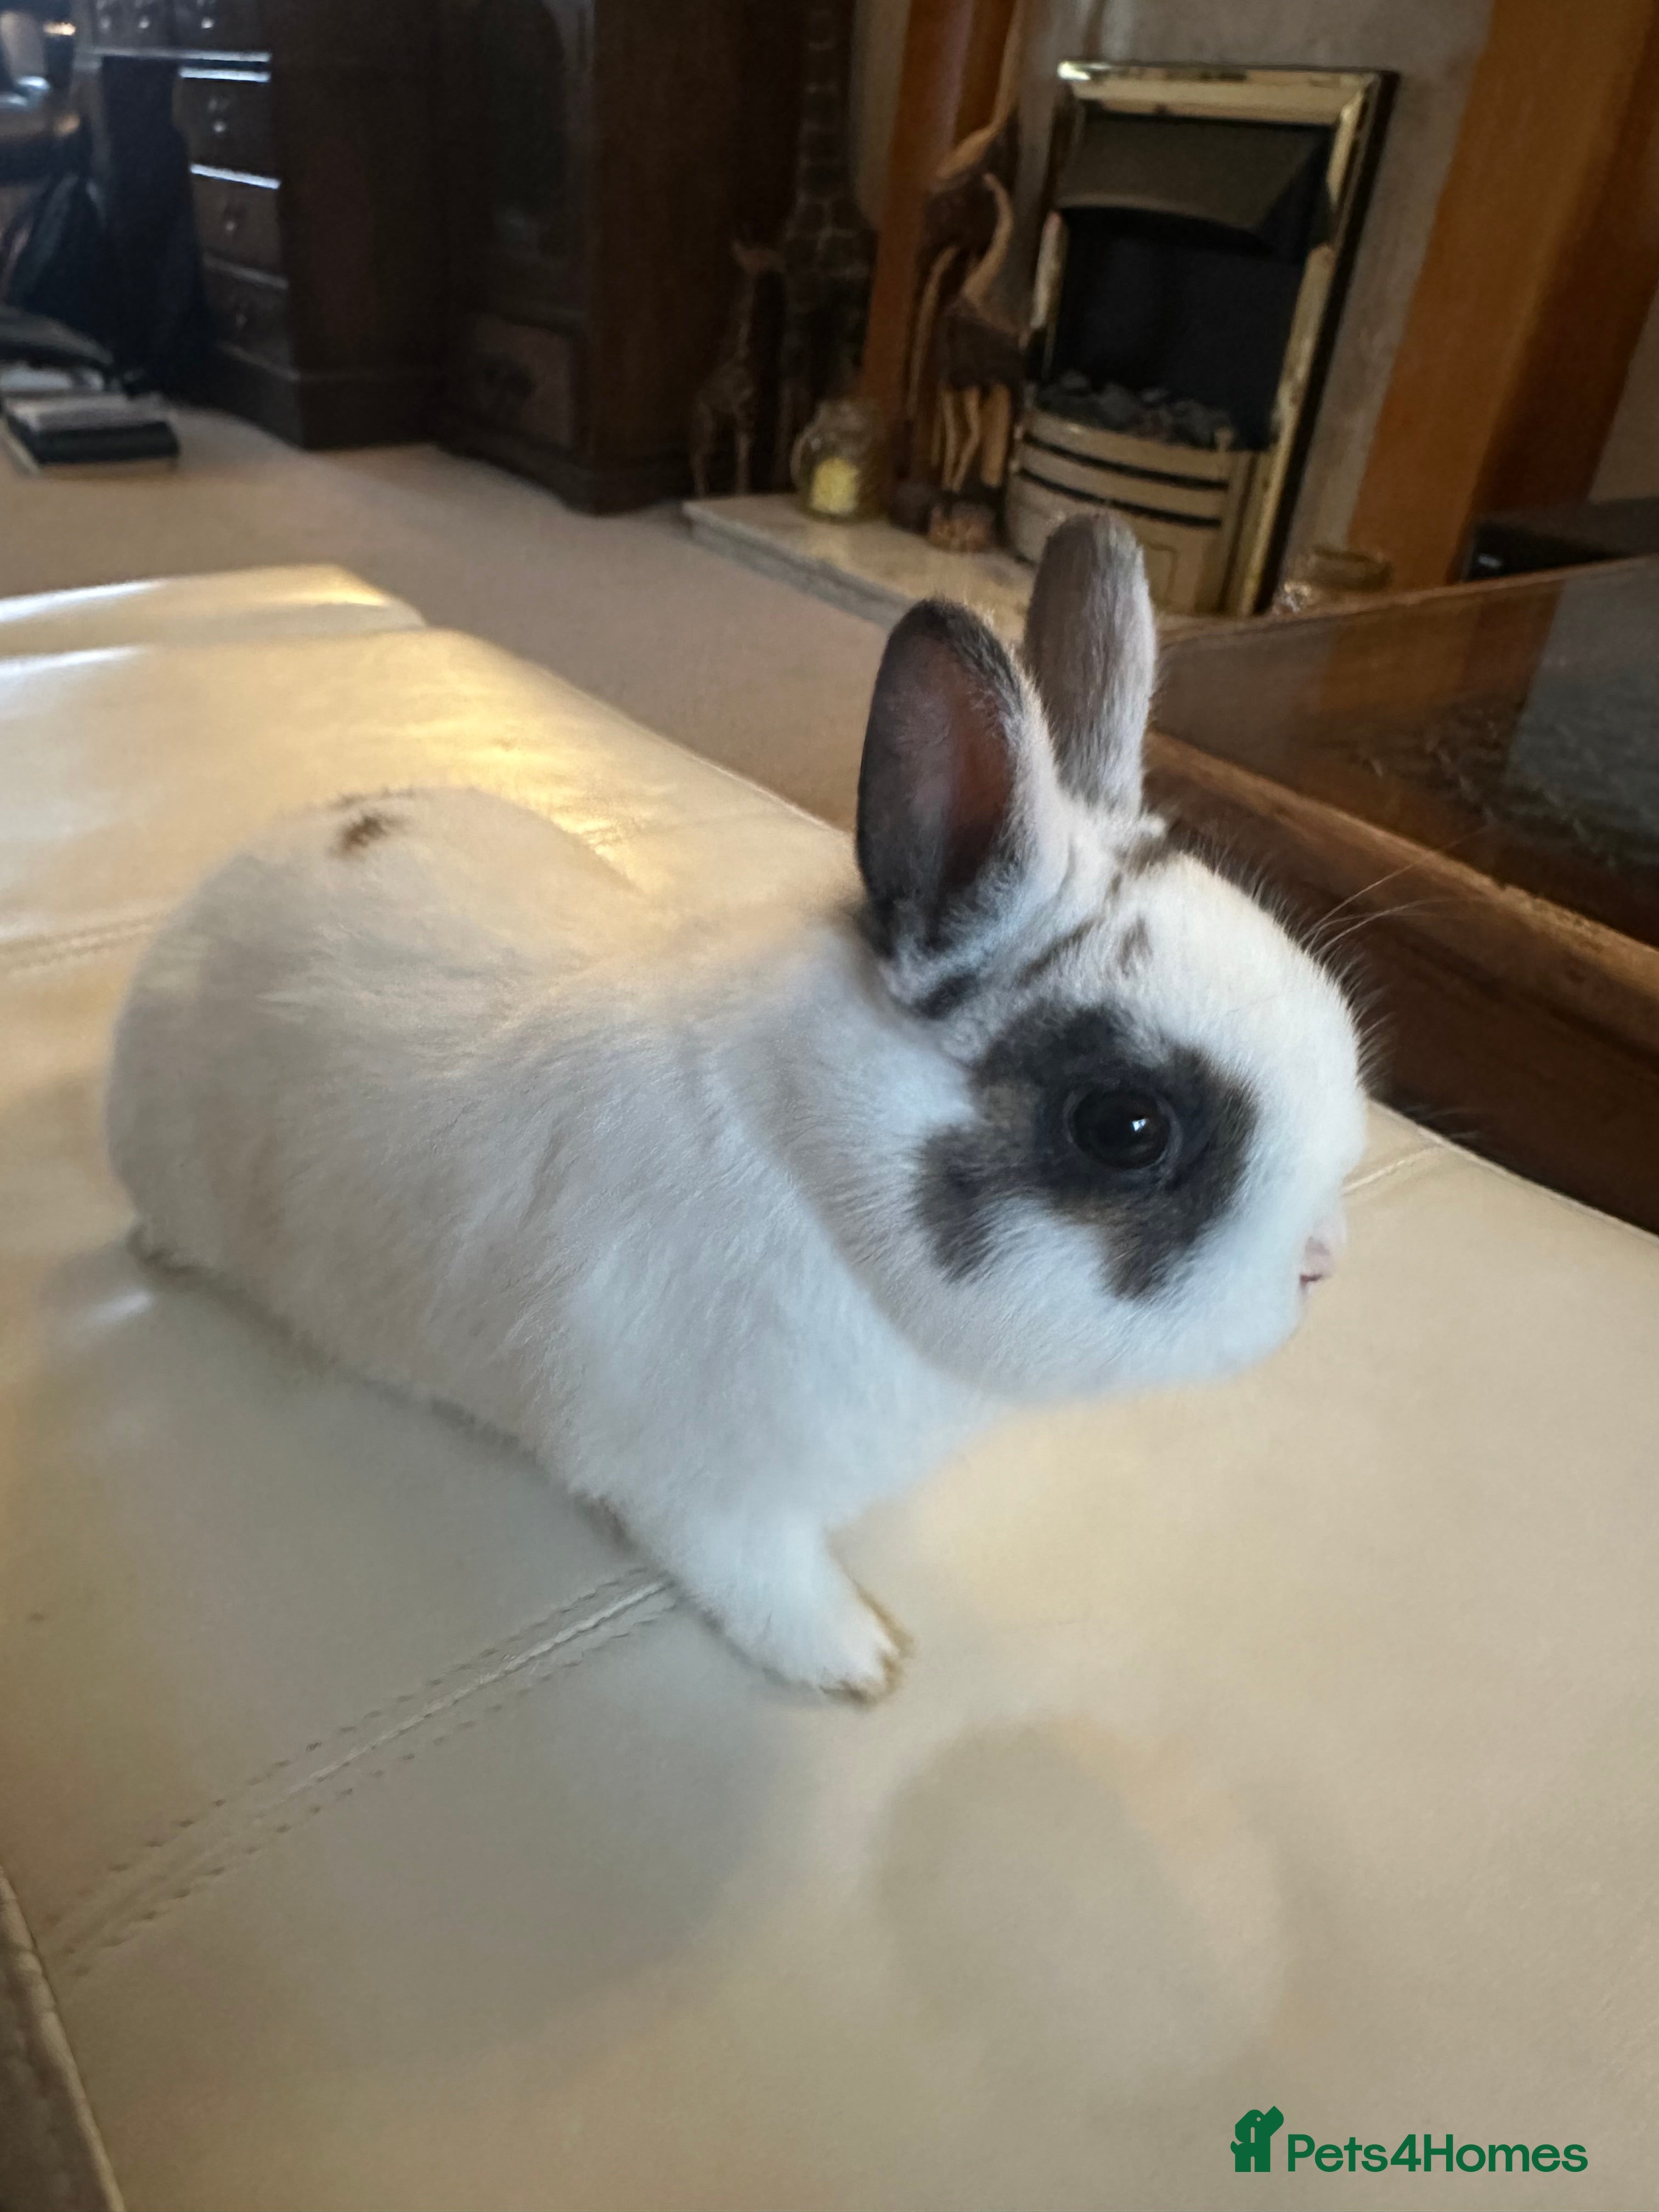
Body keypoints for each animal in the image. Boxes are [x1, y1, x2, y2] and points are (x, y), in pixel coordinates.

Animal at [106, 516, 1367, 1700]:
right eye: (1124, 1127)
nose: (1320, 1262)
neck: (817, 1174)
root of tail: (213, 894)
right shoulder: (707, 1499)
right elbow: (767, 1586)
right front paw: (865, 1662)